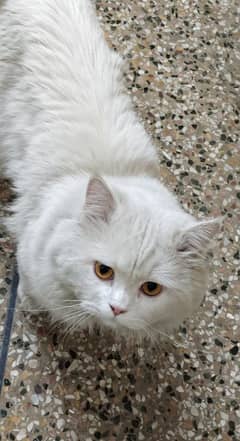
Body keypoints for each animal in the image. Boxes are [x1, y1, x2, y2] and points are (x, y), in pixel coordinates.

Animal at [0, 0, 219, 338]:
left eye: (151, 289)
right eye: (103, 271)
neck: (114, 169)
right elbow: (32, 290)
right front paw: (27, 303)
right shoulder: (30, 255)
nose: (117, 309)